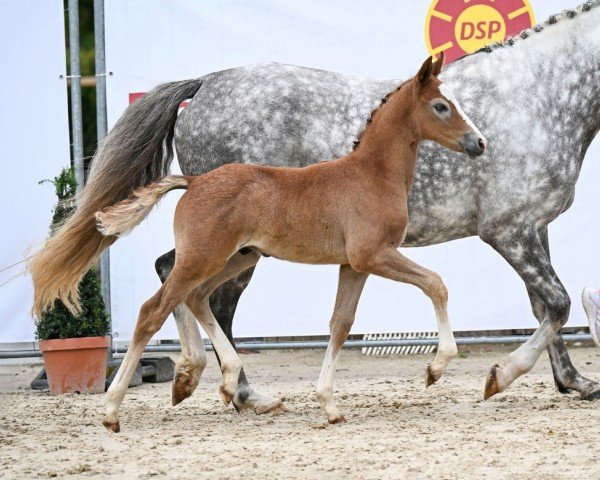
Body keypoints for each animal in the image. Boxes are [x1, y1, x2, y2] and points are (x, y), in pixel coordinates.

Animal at [150, 2, 600, 408]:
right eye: (441, 106)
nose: (479, 143)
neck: (533, 98)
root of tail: (205, 84)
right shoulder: (509, 229)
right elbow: (557, 303)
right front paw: (501, 376)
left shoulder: (533, 227)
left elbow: (542, 304)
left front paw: (573, 381)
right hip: (230, 246)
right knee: (209, 299)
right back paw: (239, 392)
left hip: (232, 246)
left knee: (175, 275)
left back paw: (195, 378)